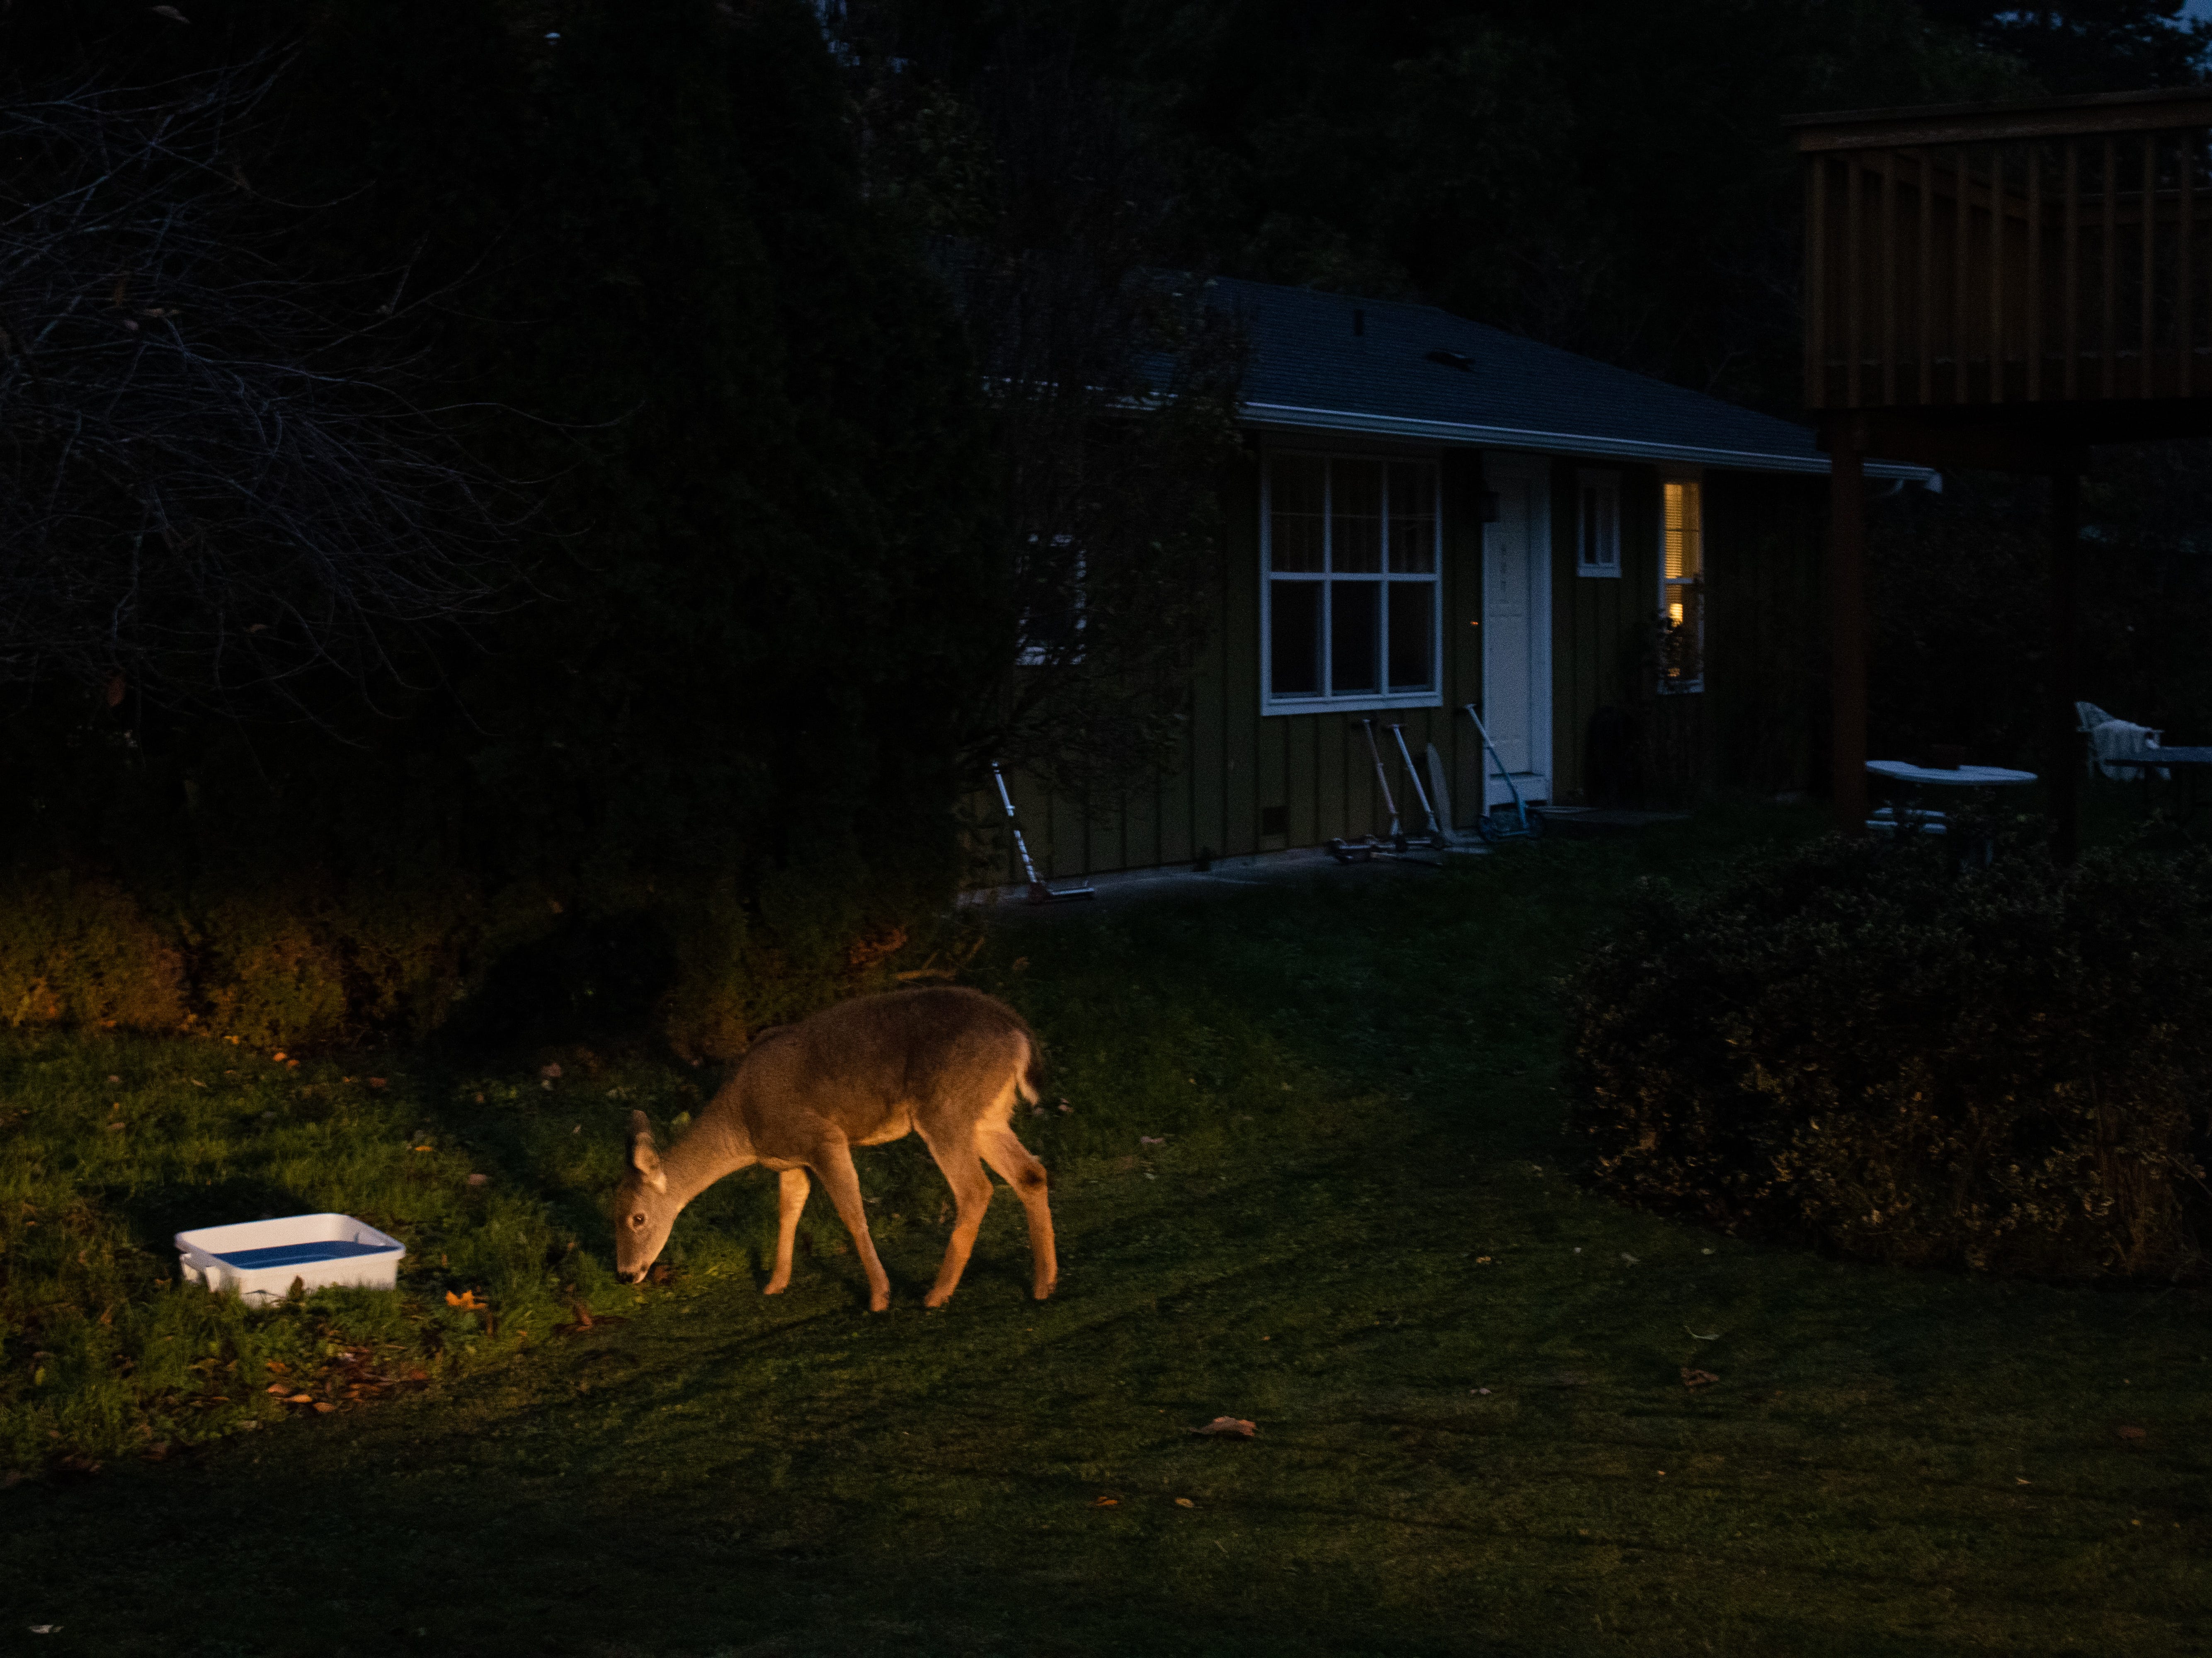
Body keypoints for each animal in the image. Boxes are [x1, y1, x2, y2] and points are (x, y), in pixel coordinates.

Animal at [611, 985, 1056, 1312]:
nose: (625, 1275)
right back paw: (1044, 1284)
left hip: (944, 1109)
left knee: (976, 1190)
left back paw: (936, 1294)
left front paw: (879, 1297)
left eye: (637, 1218)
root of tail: (1019, 1034)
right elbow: (788, 1214)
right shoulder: (790, 1162)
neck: (744, 1124)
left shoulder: (822, 1136)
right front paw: (775, 1283)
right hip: (986, 1116)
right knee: (1031, 1173)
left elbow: (852, 1213)